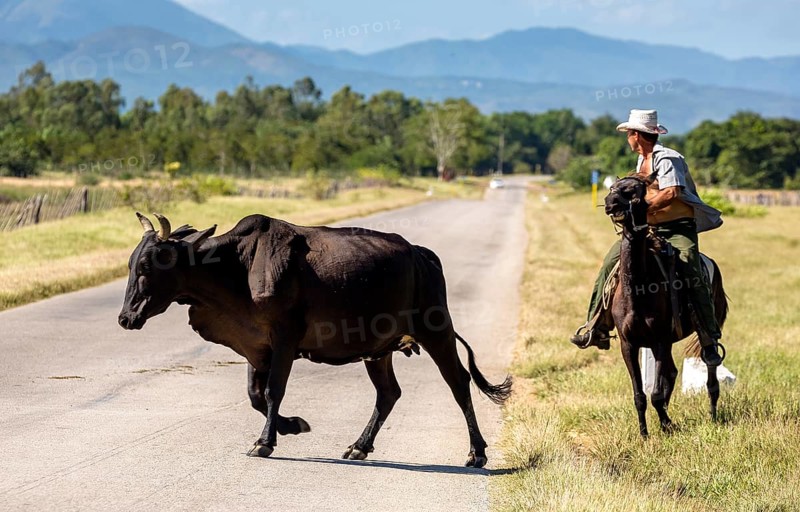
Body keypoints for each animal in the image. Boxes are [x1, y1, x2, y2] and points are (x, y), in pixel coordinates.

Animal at [118, 212, 511, 468]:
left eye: (148, 267)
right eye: (131, 264)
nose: (125, 318)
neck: (238, 266)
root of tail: (423, 255)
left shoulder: (284, 339)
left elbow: (273, 391)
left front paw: (264, 442)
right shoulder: (256, 346)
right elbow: (255, 395)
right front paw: (292, 426)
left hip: (436, 331)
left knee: (458, 383)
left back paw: (476, 453)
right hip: (378, 351)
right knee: (388, 394)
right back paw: (359, 446)